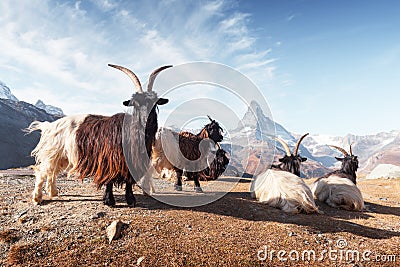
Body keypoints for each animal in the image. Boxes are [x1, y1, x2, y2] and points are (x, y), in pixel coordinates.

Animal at [27, 63, 171, 206]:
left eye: (155, 103)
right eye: (135, 103)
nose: (147, 120)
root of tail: (50, 126)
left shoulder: (131, 162)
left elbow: (129, 181)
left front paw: (130, 200)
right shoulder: (109, 160)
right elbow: (109, 181)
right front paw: (109, 200)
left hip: (62, 156)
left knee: (52, 172)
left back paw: (53, 192)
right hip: (53, 153)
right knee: (42, 171)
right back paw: (37, 198)